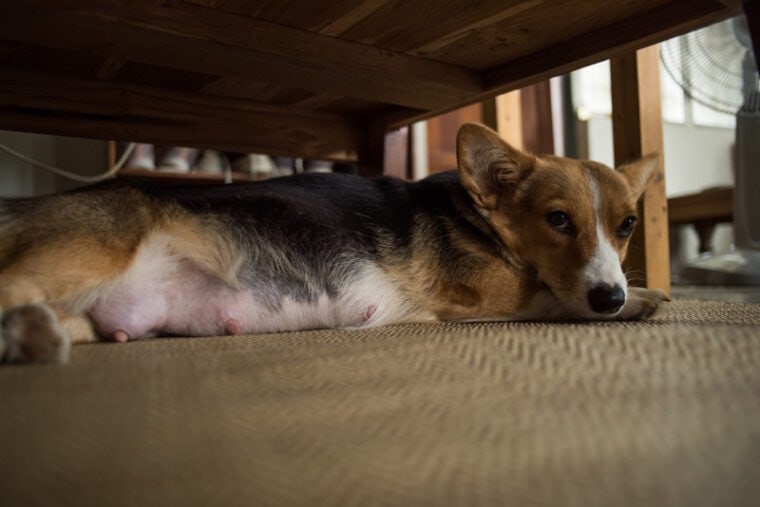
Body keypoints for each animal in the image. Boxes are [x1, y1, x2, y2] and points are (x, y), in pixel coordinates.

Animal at [0, 123, 664, 366]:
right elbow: (553, 296)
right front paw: (641, 299)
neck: (480, 218)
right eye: (558, 220)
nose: (610, 296)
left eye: (628, 226)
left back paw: (30, 338)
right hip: (91, 252)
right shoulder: (489, 294)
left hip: (85, 310)